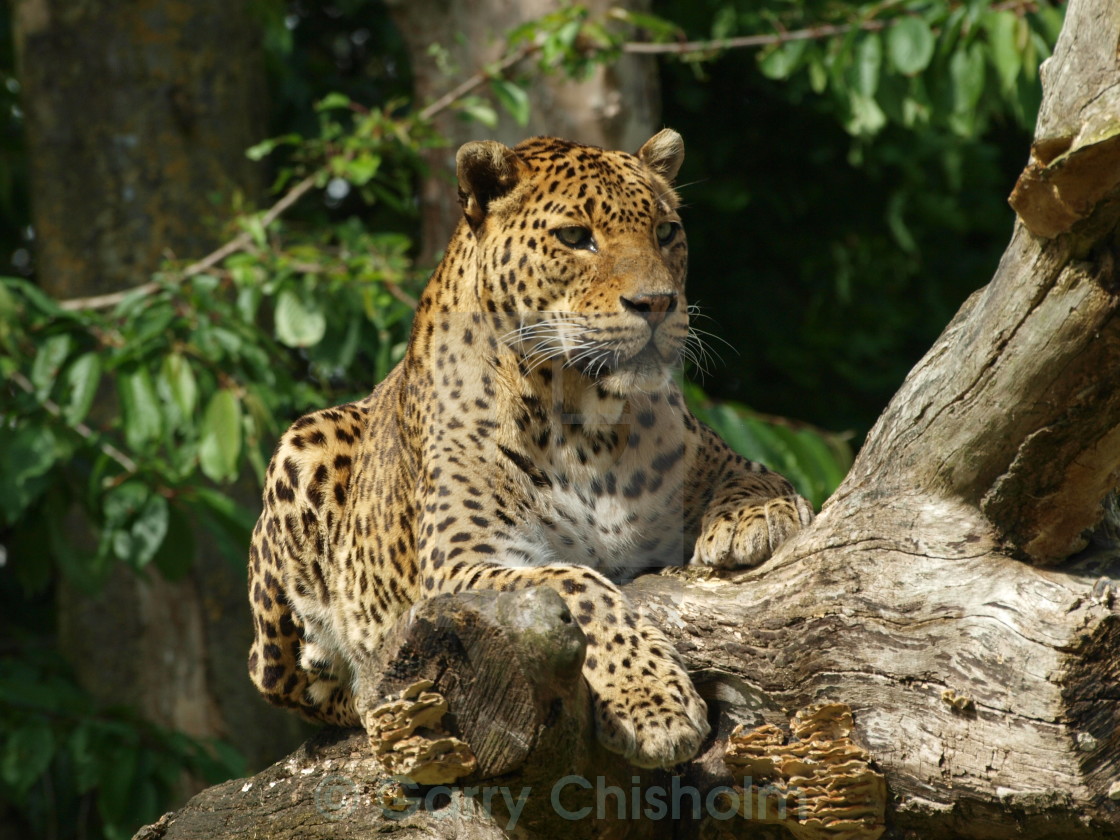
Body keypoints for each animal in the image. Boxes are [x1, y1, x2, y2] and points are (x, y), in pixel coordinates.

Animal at [247, 129, 815, 770]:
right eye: (575, 237)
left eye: (666, 231)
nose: (657, 303)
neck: (584, 421)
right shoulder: (464, 564)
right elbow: (576, 584)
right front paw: (652, 702)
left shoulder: (714, 454)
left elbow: (756, 474)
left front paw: (753, 517)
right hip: (306, 446)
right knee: (305, 685)